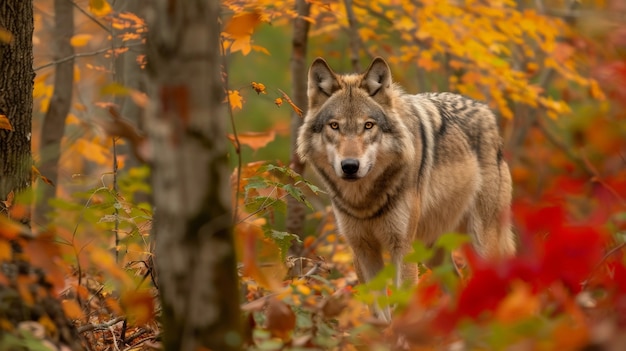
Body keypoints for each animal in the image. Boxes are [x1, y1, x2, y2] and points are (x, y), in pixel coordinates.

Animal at [294, 57, 516, 322]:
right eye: (334, 126)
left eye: (368, 125)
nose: (349, 166)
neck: (364, 201)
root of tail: (487, 112)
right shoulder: (362, 248)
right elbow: (378, 312)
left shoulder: (402, 247)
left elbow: (402, 305)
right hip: (434, 251)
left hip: (480, 243)